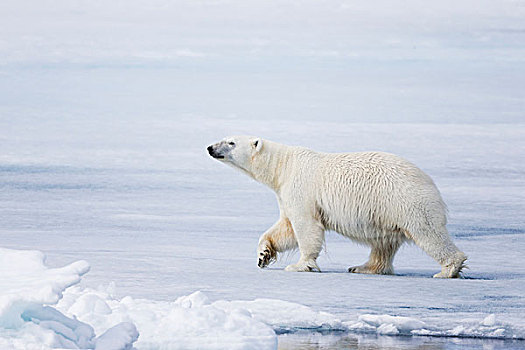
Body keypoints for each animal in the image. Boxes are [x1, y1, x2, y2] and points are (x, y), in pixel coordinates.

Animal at [207, 135, 464, 278]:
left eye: (231, 142)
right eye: (224, 137)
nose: (210, 148)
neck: (283, 166)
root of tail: (430, 182)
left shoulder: (301, 188)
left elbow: (306, 226)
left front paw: (299, 265)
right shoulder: (284, 192)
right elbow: (285, 228)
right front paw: (263, 254)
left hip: (405, 201)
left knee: (428, 233)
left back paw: (448, 269)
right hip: (386, 212)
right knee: (383, 243)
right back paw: (362, 267)